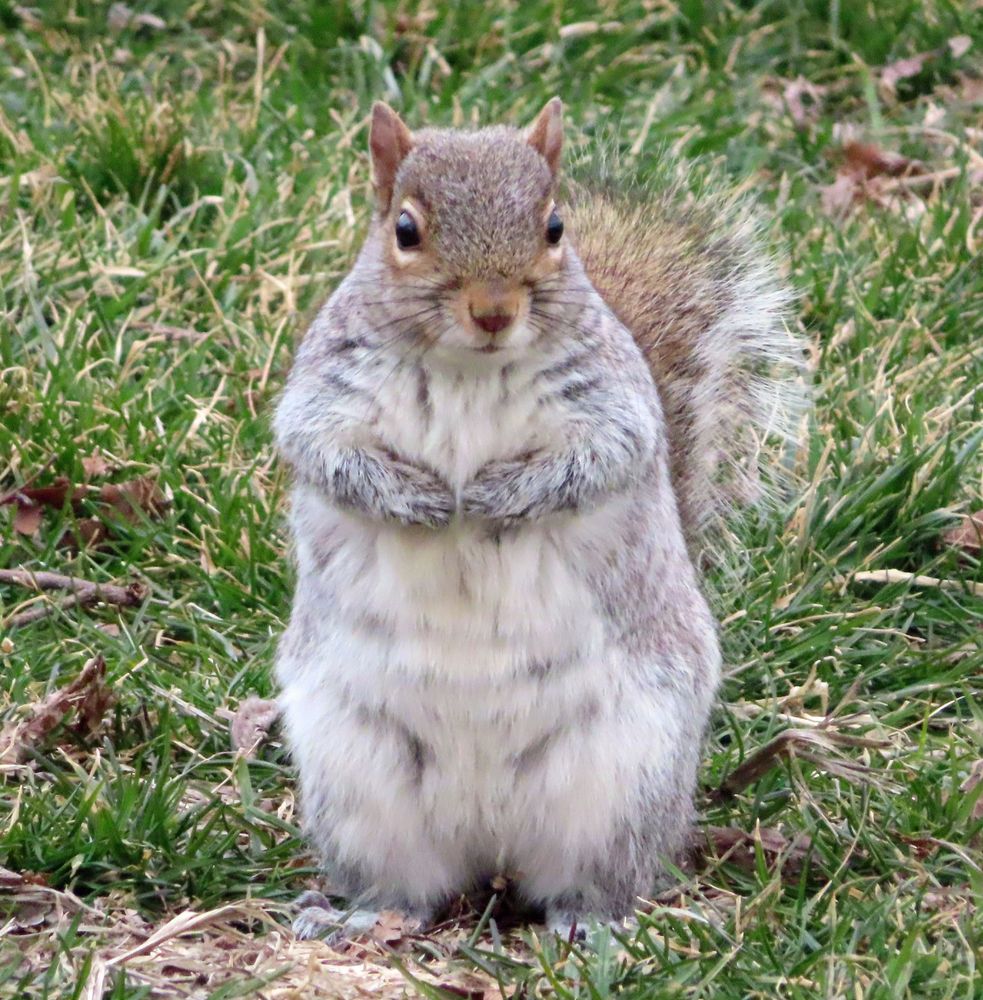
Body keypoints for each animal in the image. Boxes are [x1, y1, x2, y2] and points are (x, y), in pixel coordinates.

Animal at [273, 98, 807, 942]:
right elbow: (320, 451)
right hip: (357, 779)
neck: (468, 367)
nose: (493, 310)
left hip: (623, 775)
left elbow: (603, 456)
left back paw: (592, 924)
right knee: (405, 887)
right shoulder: (324, 389)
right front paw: (417, 499)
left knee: (594, 878)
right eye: (405, 230)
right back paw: (361, 917)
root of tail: (487, 840)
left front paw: (497, 497)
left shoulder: (612, 401)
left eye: (554, 227)